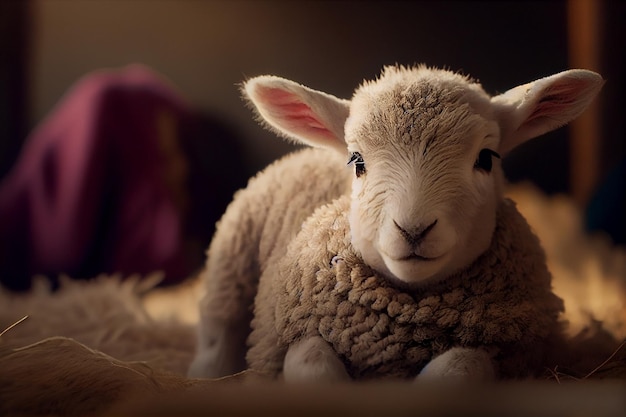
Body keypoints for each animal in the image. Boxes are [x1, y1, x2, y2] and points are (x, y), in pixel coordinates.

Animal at [188, 64, 604, 380]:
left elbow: (460, 366)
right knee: (217, 331)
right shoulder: (296, 330)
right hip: (231, 262)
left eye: (486, 158)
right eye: (357, 161)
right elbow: (311, 363)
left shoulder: (504, 352)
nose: (413, 230)